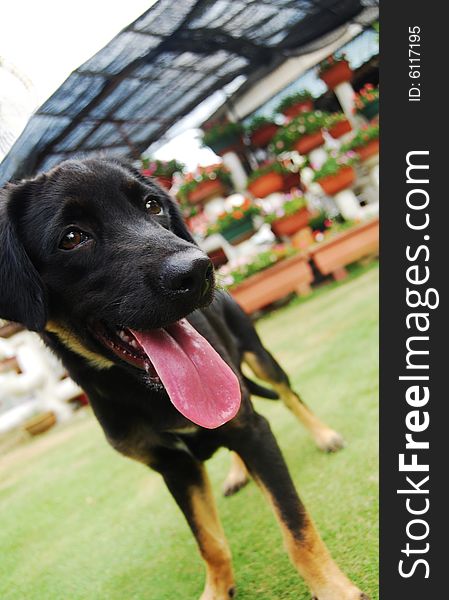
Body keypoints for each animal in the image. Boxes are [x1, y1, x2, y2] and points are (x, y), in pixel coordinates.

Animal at [0, 159, 366, 600]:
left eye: (152, 205)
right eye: (71, 237)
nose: (198, 271)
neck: (145, 392)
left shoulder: (253, 429)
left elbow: (295, 524)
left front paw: (333, 588)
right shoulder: (173, 466)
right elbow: (209, 541)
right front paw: (218, 588)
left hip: (259, 357)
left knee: (290, 395)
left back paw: (323, 435)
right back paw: (238, 473)